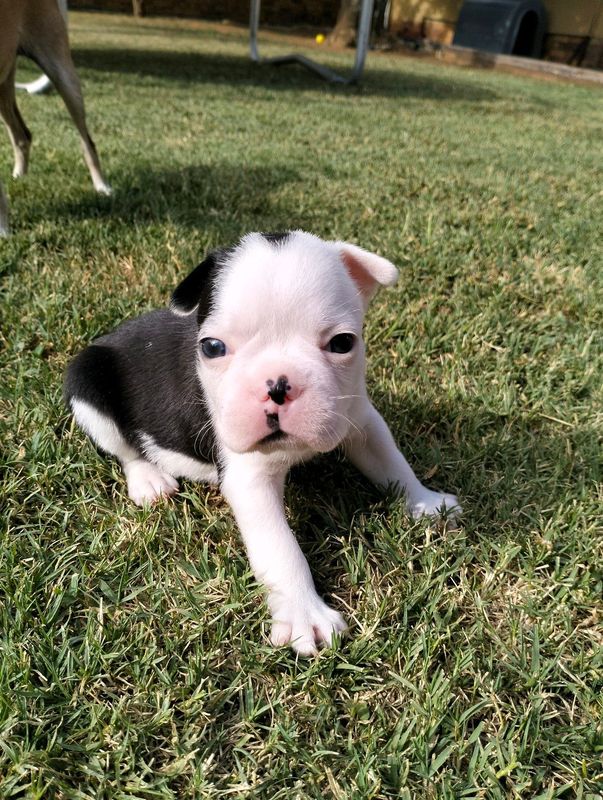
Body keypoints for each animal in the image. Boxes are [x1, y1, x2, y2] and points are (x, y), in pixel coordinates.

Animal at [65, 231, 462, 656]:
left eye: (342, 343)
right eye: (212, 347)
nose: (277, 385)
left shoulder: (361, 420)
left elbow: (391, 463)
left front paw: (425, 503)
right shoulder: (250, 480)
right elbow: (280, 547)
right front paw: (305, 614)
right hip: (87, 382)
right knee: (124, 448)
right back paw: (149, 481)